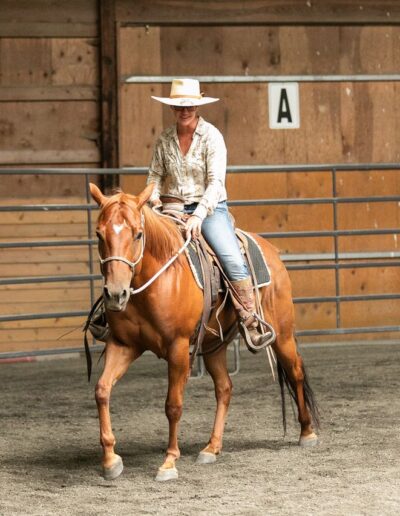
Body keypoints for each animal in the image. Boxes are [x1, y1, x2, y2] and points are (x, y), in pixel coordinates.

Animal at [89, 182, 319, 482]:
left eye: (138, 234)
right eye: (99, 234)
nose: (116, 294)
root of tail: (271, 252)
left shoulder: (177, 348)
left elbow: (173, 405)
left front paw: (169, 462)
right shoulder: (123, 345)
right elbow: (102, 390)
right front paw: (110, 460)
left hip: (282, 334)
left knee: (296, 372)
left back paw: (307, 432)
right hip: (213, 347)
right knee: (225, 388)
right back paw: (212, 447)